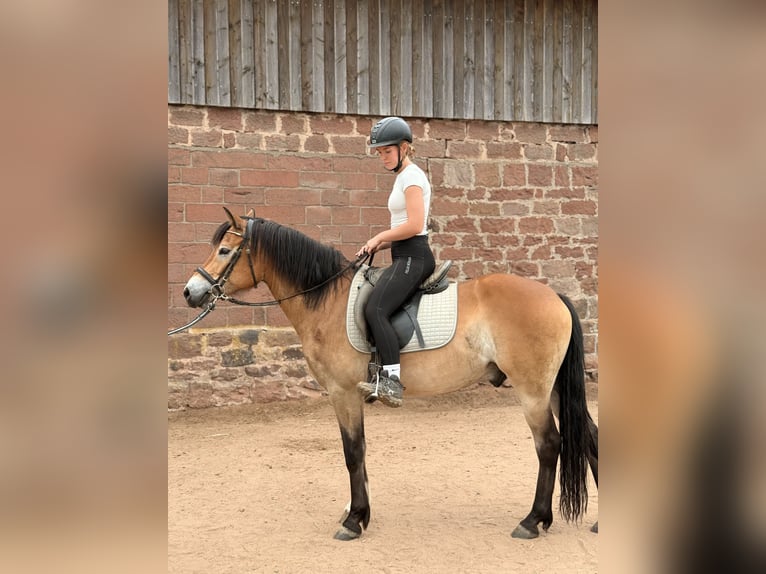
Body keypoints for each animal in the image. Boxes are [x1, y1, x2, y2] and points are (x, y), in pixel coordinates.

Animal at [181, 207, 599, 541]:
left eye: (224, 250)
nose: (190, 291)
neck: (327, 301)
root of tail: (554, 296)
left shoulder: (343, 393)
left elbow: (352, 452)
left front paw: (354, 520)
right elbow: (360, 452)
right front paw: (360, 513)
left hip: (533, 391)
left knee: (549, 445)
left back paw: (533, 521)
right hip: (552, 389)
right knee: (590, 436)